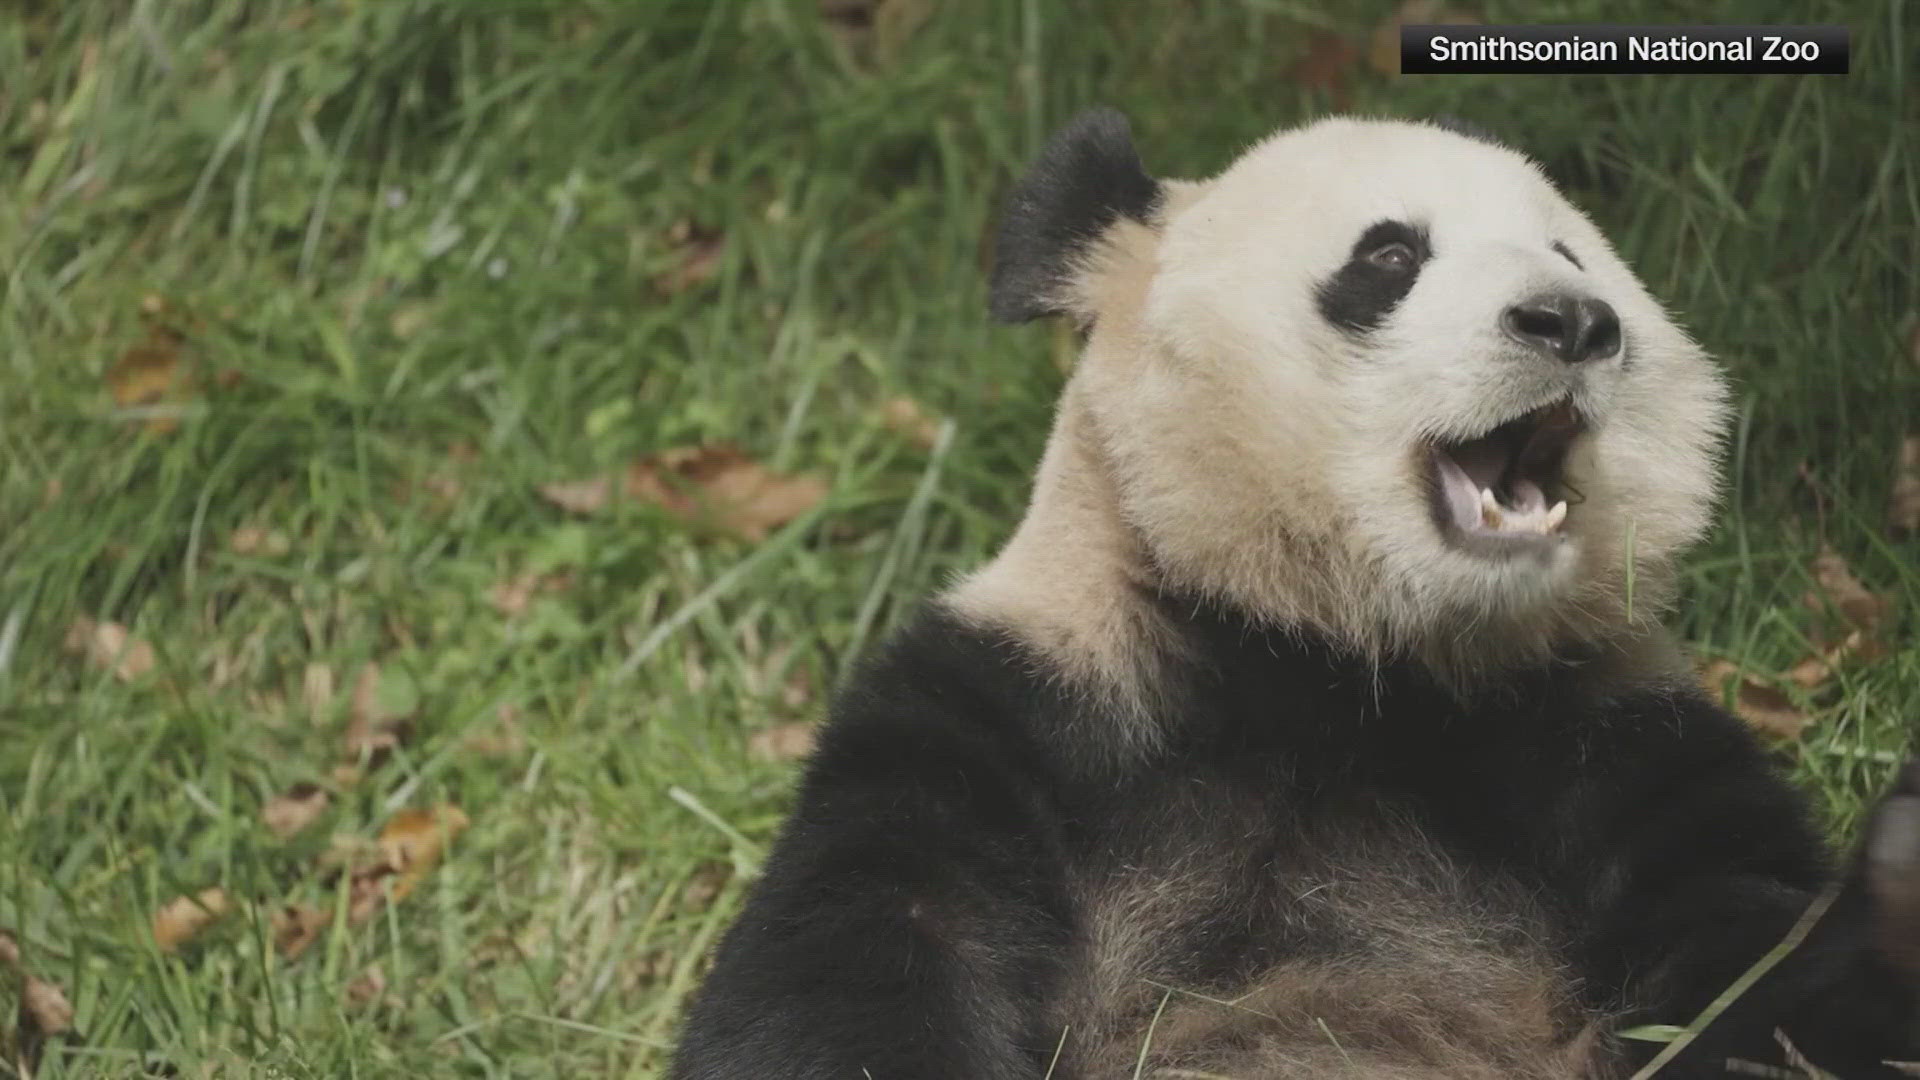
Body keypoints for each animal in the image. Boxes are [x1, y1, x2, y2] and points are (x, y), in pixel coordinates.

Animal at [664, 111, 1920, 1076]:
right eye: (1390, 256)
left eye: (1574, 256)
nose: (1572, 321)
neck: (1334, 658)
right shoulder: (1030, 702)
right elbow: (859, 957)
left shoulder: (1603, 732)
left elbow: (1753, 963)